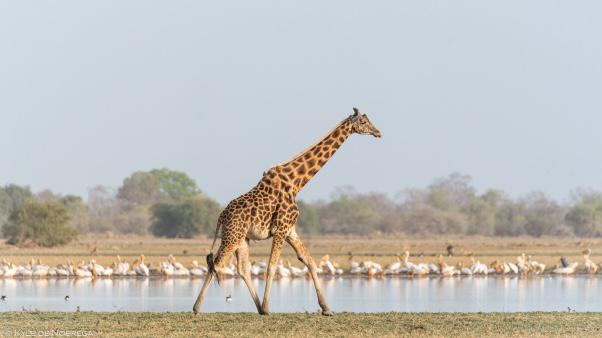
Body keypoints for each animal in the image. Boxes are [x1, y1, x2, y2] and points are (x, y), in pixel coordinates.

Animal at [192, 107, 380, 316]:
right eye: (363, 122)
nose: (377, 132)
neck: (297, 183)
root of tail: (221, 217)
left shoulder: (290, 229)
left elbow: (309, 261)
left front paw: (326, 309)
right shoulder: (281, 229)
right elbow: (272, 266)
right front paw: (268, 307)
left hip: (242, 238)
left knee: (242, 268)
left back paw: (258, 308)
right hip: (233, 236)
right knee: (216, 264)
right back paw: (198, 307)